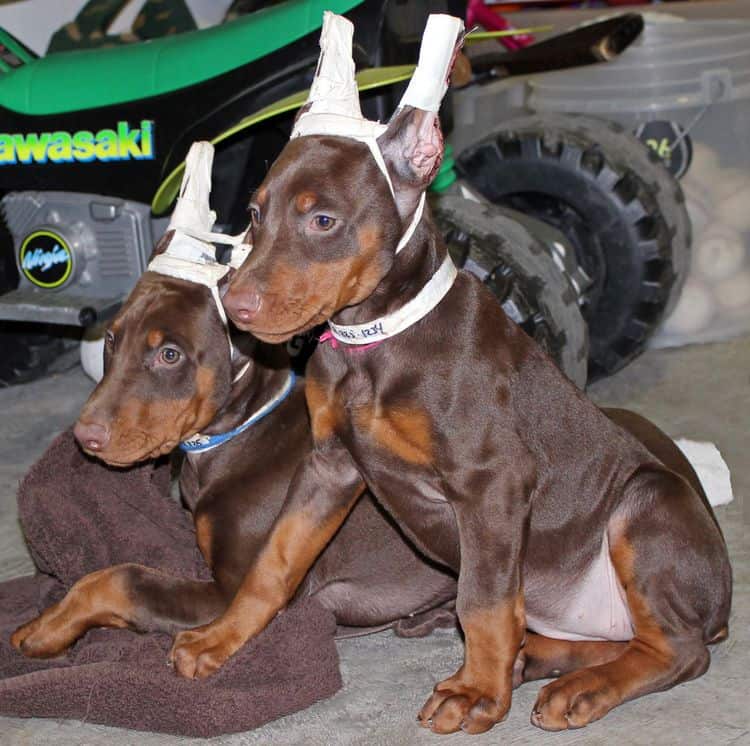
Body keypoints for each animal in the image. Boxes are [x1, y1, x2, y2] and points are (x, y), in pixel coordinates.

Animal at [11, 151, 458, 656]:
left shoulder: (230, 591)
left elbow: (117, 578)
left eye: (170, 354)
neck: (239, 436)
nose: (85, 437)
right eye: (110, 339)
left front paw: (45, 629)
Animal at [166, 14, 736, 736]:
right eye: (255, 214)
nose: (235, 308)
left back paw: (581, 686)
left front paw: (476, 693)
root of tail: (721, 603)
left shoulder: (491, 482)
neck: (375, 341)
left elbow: (483, 600)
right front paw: (222, 638)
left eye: (323, 220)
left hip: (645, 506)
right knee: (621, 637)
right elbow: (275, 561)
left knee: (680, 649)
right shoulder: (327, 465)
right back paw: (542, 662)